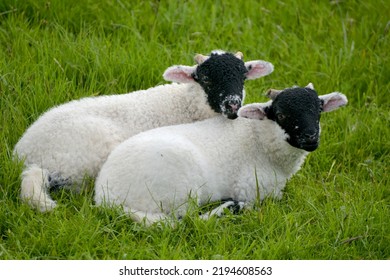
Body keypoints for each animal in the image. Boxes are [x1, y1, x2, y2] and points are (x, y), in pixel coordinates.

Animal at [93, 82, 348, 225]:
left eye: (318, 111)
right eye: (282, 115)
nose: (311, 138)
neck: (260, 140)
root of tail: (104, 195)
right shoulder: (251, 188)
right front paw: (237, 206)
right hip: (178, 190)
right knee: (184, 222)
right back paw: (228, 210)